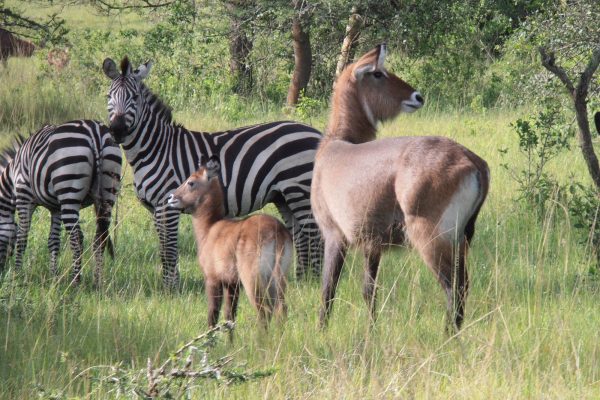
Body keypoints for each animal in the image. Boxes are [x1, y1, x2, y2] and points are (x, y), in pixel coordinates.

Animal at [0, 121, 122, 284]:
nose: (2, 272)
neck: (11, 178)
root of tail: (95, 133)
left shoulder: (24, 198)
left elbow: (22, 237)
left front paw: (17, 274)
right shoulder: (55, 208)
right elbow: (53, 241)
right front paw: (54, 276)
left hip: (69, 191)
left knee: (77, 238)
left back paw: (75, 282)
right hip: (108, 190)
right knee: (99, 238)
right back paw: (97, 282)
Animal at [102, 56, 324, 288]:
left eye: (135, 97)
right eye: (109, 96)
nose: (117, 130)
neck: (155, 149)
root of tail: (315, 132)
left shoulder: (167, 205)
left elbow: (169, 251)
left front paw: (171, 289)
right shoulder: (156, 208)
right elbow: (165, 249)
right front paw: (171, 286)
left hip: (298, 188)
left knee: (313, 235)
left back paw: (314, 282)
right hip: (283, 196)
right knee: (300, 235)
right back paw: (301, 281)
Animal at [168, 158, 292, 330]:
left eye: (191, 182)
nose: (171, 197)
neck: (210, 227)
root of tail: (278, 231)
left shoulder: (212, 279)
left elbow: (212, 314)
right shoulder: (232, 284)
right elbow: (230, 316)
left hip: (252, 280)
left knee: (264, 310)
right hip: (277, 279)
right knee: (281, 309)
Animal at [312, 43, 490, 332]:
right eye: (378, 74)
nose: (418, 96)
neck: (337, 146)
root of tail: (473, 160)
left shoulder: (334, 234)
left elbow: (328, 289)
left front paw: (321, 331)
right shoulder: (371, 243)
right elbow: (369, 290)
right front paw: (371, 330)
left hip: (431, 238)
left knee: (454, 287)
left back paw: (446, 336)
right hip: (461, 239)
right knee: (462, 285)